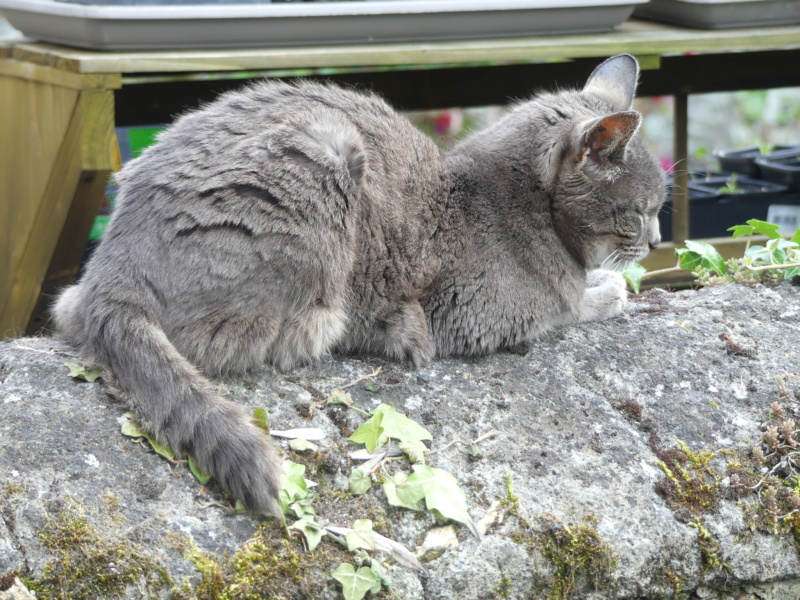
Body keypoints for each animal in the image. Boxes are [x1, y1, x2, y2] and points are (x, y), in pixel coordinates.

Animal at [54, 52, 664, 516]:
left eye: (659, 209)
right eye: (641, 211)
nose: (658, 240)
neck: (518, 202)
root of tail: (112, 272)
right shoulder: (479, 312)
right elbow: (571, 305)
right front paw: (611, 289)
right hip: (325, 170)